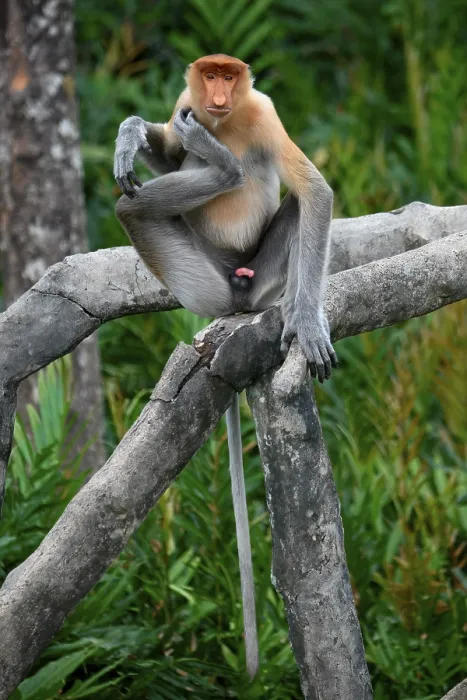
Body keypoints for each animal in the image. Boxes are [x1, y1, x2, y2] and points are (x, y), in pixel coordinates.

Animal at [113, 54, 337, 678]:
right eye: (208, 74)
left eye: (230, 77)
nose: (215, 94)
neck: (227, 119)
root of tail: (231, 300)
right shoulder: (183, 102)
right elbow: (166, 156)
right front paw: (131, 134)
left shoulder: (263, 112)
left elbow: (314, 191)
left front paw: (310, 325)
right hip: (198, 276)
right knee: (133, 204)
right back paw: (215, 163)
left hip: (256, 276)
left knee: (287, 206)